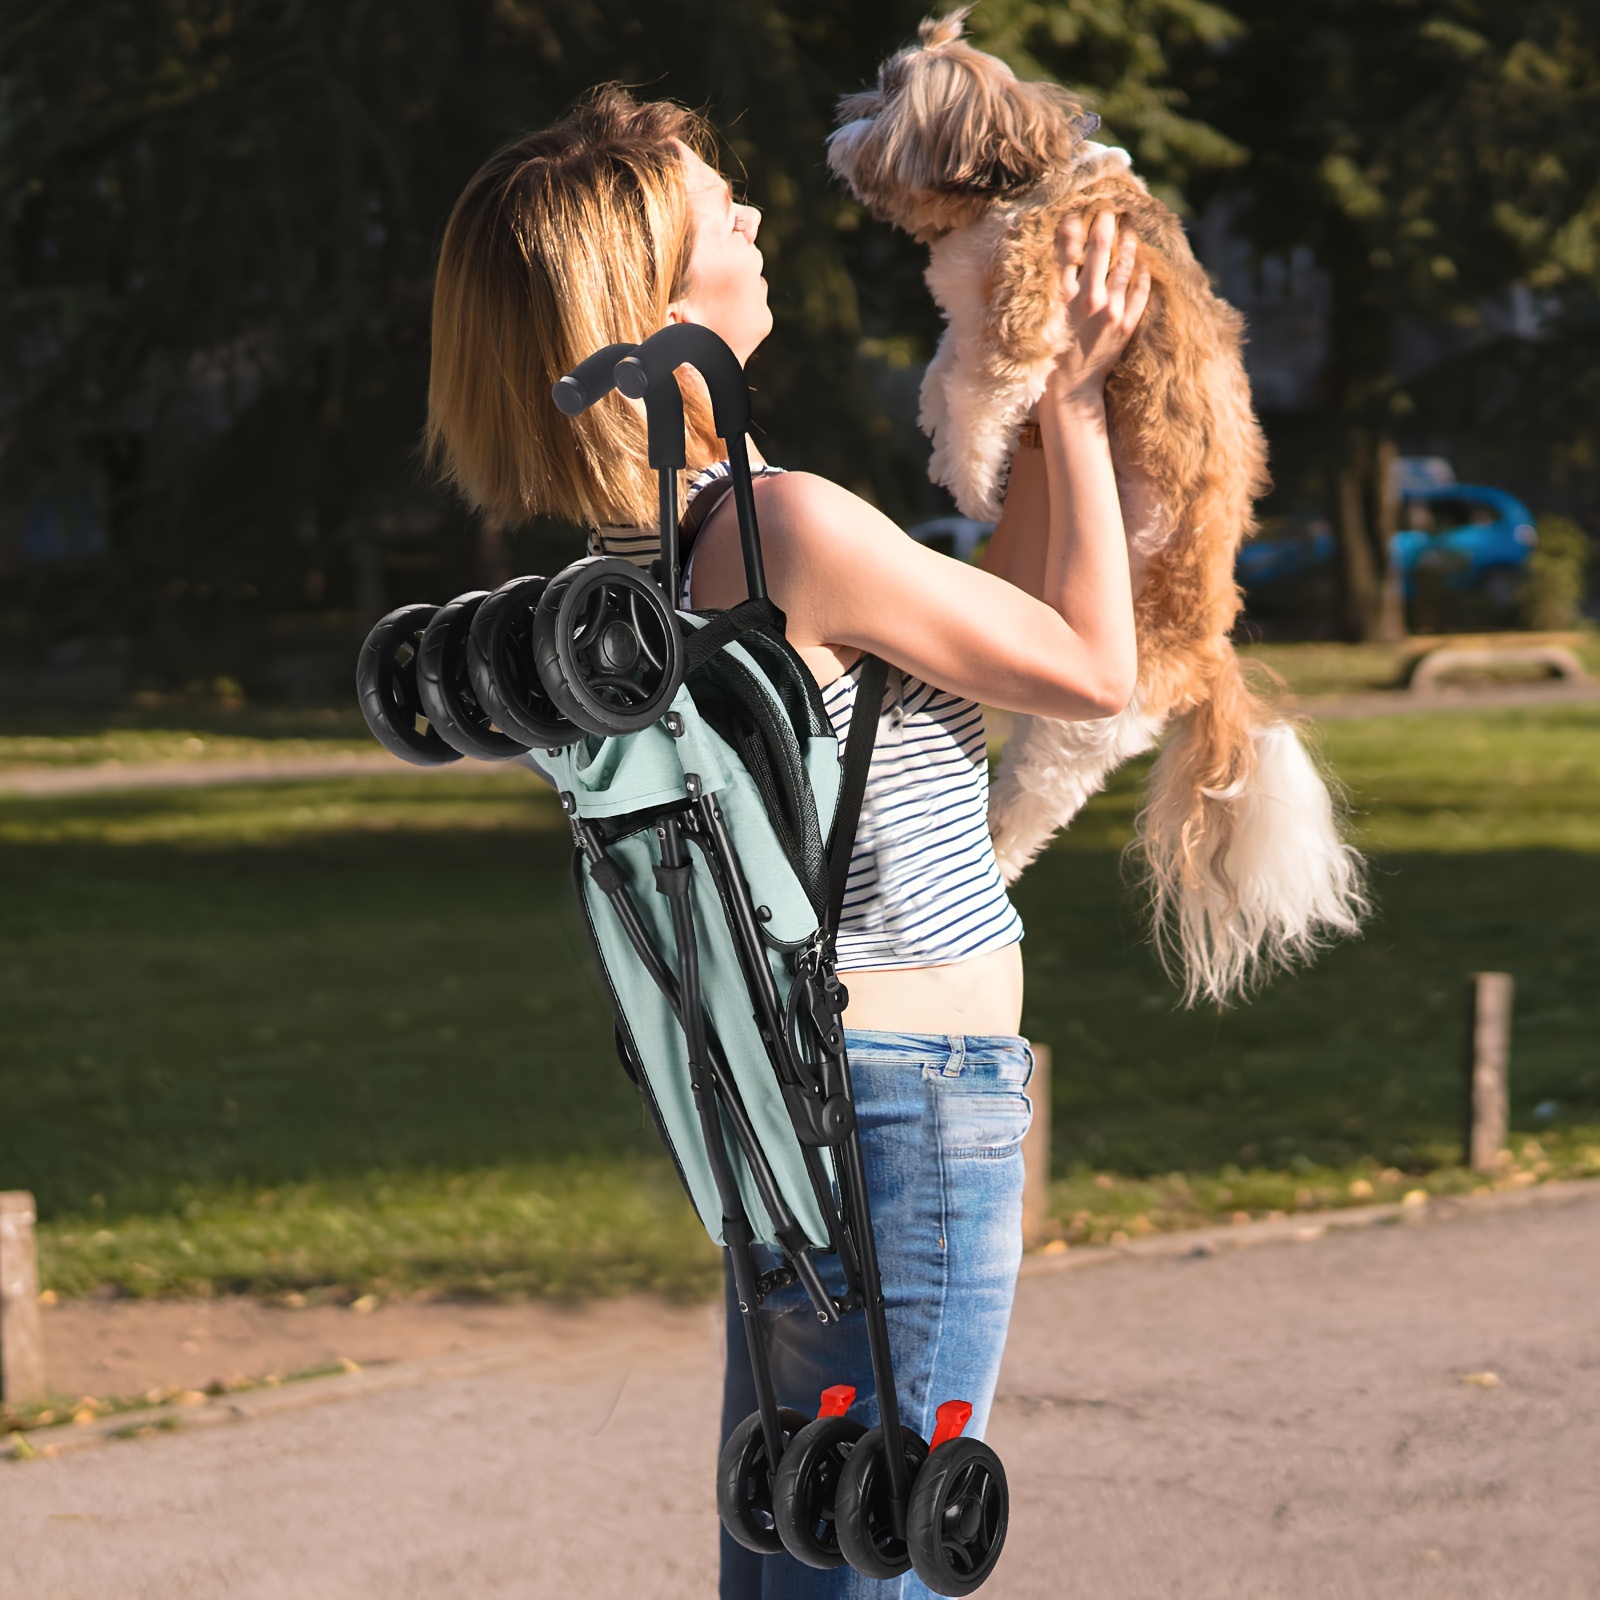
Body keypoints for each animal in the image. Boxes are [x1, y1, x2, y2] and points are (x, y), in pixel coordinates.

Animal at [832, 12, 1369, 1004]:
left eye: (888, 96)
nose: (845, 119)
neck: (1017, 179)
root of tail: (1207, 654)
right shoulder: (976, 318)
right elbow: (943, 367)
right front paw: (941, 430)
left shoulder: (1025, 314)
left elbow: (981, 387)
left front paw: (969, 471)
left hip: (1077, 725)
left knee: (1023, 813)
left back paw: (995, 854)